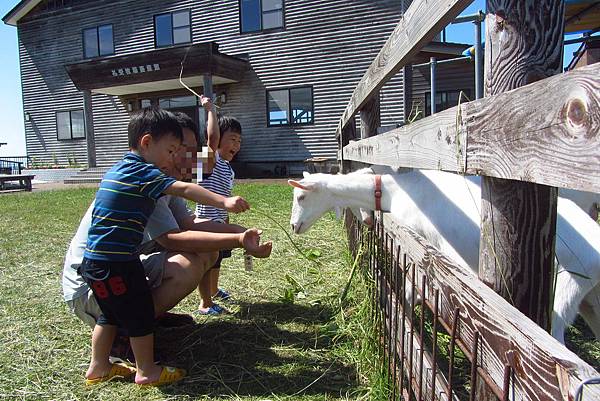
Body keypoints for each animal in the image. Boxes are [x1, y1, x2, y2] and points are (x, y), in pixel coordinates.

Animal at [290, 167, 600, 342]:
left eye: (301, 196)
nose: (293, 226)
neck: (397, 190)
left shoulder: (422, 247)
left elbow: (412, 291)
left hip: (570, 282)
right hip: (591, 298)